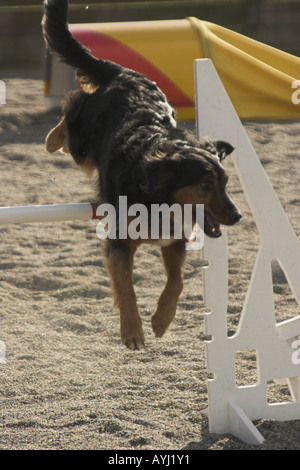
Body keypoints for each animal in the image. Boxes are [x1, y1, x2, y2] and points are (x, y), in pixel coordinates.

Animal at [41, 0, 241, 350]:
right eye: (205, 184)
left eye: (226, 184)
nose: (237, 215)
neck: (158, 198)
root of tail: (126, 73)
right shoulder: (119, 241)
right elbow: (126, 286)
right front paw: (132, 330)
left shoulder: (174, 240)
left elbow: (176, 282)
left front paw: (162, 320)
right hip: (83, 144)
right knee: (72, 111)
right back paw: (53, 139)